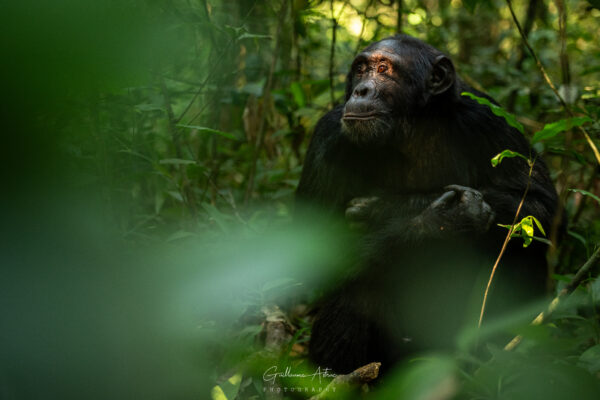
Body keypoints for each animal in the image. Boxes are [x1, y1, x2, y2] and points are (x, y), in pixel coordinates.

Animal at [298, 35, 560, 376]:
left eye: (384, 69)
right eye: (360, 69)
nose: (361, 90)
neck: (411, 126)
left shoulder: (490, 120)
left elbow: (538, 202)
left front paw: (390, 205)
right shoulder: (327, 138)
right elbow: (306, 252)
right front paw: (442, 221)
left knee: (519, 247)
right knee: (358, 288)